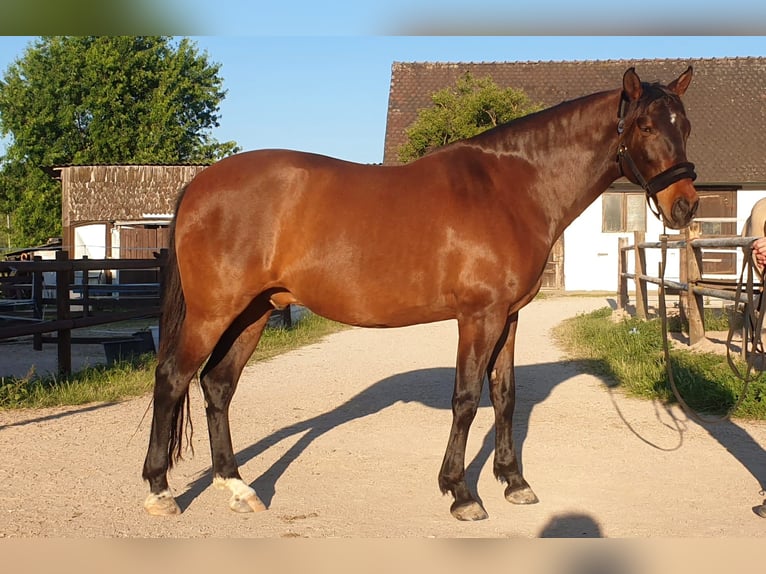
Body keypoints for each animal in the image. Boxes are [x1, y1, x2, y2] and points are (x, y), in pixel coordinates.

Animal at [142, 66, 699, 521]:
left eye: (686, 127)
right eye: (646, 127)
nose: (686, 206)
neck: (513, 187)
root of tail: (200, 184)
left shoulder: (509, 317)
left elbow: (505, 396)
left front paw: (513, 482)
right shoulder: (479, 316)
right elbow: (467, 399)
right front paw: (461, 492)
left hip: (254, 312)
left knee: (217, 386)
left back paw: (237, 487)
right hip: (214, 312)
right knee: (172, 378)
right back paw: (160, 491)